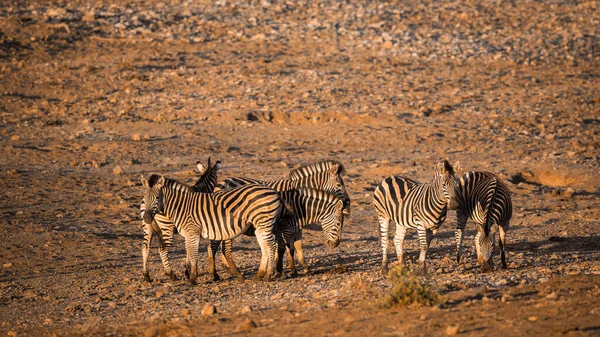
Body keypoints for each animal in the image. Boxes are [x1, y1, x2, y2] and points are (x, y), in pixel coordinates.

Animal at [141, 175, 284, 282]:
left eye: (157, 198)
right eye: (144, 198)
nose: (147, 218)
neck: (179, 207)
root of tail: (273, 191)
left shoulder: (193, 231)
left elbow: (193, 254)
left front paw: (192, 278)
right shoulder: (191, 233)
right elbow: (192, 253)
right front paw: (193, 274)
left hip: (264, 222)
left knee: (270, 245)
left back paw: (268, 275)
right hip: (260, 225)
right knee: (266, 246)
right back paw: (260, 275)